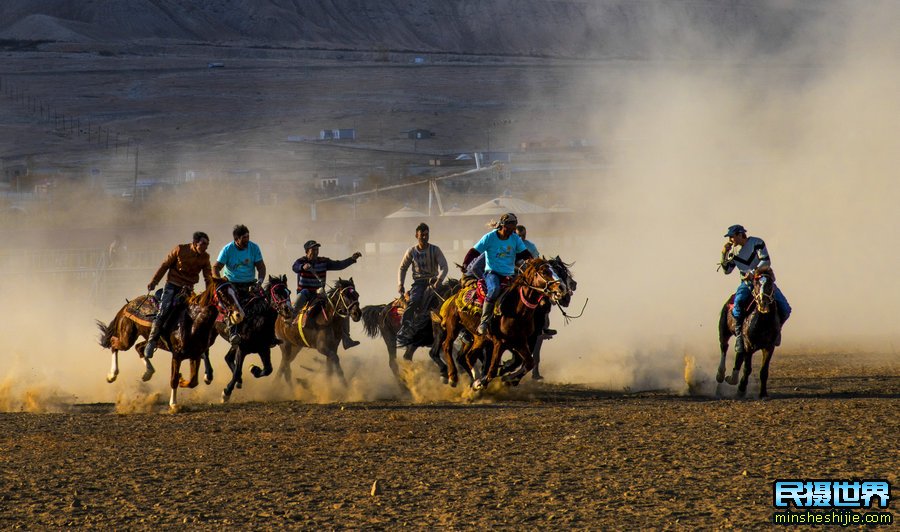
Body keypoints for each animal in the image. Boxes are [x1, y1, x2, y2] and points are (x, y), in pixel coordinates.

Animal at [96, 276, 243, 410]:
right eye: (223, 294)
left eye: (236, 292)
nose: (239, 314)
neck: (193, 321)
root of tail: (128, 304)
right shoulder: (177, 356)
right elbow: (173, 379)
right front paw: (173, 404)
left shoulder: (195, 355)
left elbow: (193, 381)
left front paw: (183, 380)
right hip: (127, 338)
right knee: (114, 344)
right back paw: (112, 375)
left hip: (151, 341)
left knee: (140, 348)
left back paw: (147, 372)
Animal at [440, 258, 568, 390]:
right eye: (544, 272)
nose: (562, 288)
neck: (517, 310)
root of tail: (453, 297)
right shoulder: (500, 342)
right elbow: (492, 369)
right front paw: (486, 381)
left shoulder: (521, 341)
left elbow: (529, 362)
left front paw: (509, 378)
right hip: (453, 326)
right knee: (447, 346)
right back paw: (453, 377)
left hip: (479, 337)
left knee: (469, 356)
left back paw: (475, 379)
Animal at [716, 268, 780, 396]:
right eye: (756, 284)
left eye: (770, 284)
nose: (763, 302)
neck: (763, 323)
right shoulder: (749, 345)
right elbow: (747, 369)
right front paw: (741, 389)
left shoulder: (769, 347)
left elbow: (764, 371)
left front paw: (763, 393)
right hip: (724, 332)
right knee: (724, 347)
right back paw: (721, 375)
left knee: (739, 354)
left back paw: (732, 378)